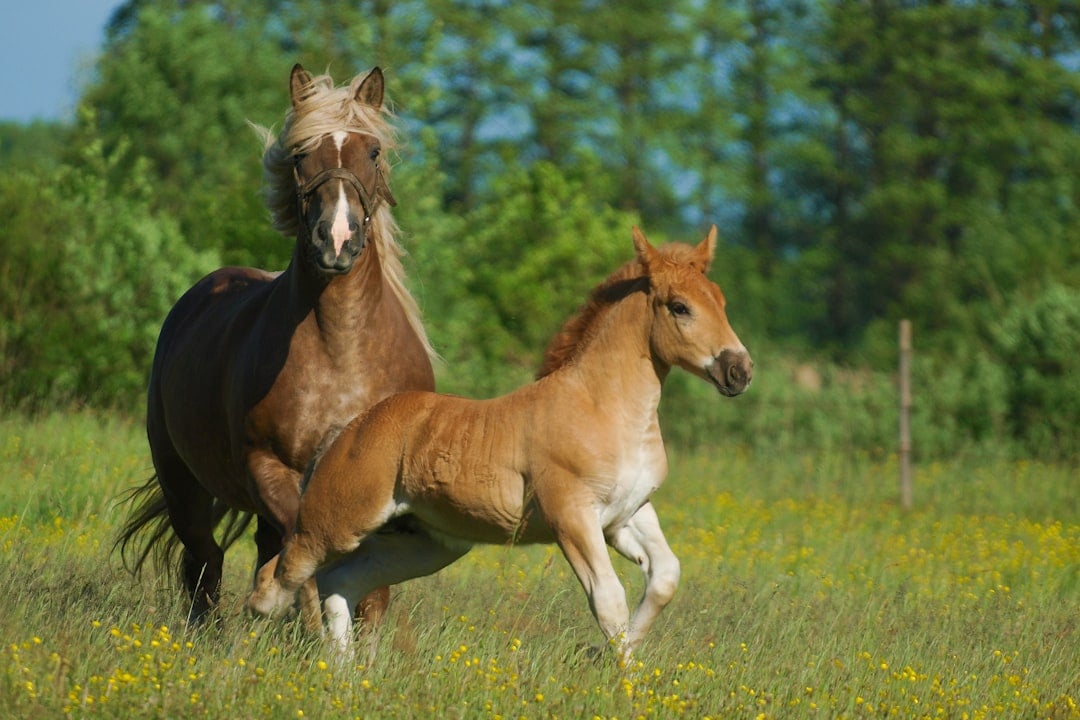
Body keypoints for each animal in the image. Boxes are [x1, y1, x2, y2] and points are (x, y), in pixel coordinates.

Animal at [116, 64, 436, 629]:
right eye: (300, 155)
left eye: (373, 151)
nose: (337, 240)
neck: (342, 354)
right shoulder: (269, 468)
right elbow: (304, 554)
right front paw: (297, 616)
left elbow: (370, 585)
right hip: (183, 484)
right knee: (206, 559)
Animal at [246, 225, 753, 663]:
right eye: (680, 307)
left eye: (723, 301)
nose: (739, 371)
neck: (602, 406)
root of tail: (346, 430)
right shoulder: (572, 515)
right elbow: (609, 600)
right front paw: (621, 679)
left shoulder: (626, 515)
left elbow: (664, 578)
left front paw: (613, 659)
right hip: (334, 524)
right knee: (275, 584)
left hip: (425, 544)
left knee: (342, 581)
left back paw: (346, 672)